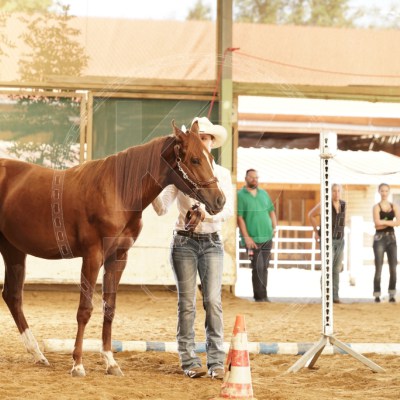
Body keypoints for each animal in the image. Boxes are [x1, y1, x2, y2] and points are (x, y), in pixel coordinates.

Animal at [0, 120, 226, 377]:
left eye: (210, 156)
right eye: (195, 159)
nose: (219, 200)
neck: (118, 191)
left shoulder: (118, 258)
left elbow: (110, 308)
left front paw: (110, 361)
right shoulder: (92, 256)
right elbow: (85, 309)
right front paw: (77, 364)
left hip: (13, 249)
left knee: (12, 296)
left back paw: (38, 354)